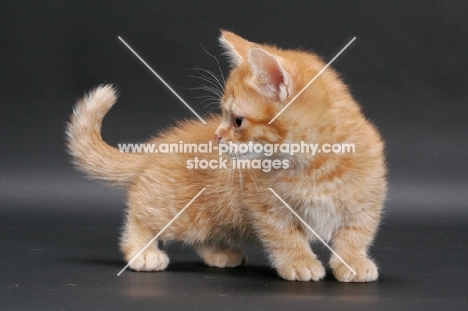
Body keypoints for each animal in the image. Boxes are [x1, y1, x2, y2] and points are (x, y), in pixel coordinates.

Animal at [66, 29, 388, 282]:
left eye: (237, 121)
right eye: (223, 115)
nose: (217, 136)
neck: (312, 166)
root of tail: (157, 146)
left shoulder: (367, 201)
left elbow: (356, 234)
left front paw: (354, 262)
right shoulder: (266, 207)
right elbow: (284, 235)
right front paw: (299, 262)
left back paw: (219, 252)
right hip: (176, 207)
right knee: (140, 215)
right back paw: (142, 253)